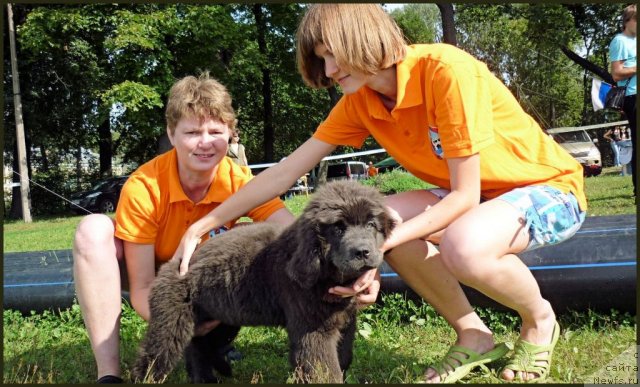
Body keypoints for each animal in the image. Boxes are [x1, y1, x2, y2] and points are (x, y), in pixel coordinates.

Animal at [132, 180, 392, 384]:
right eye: (338, 229)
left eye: (371, 225)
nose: (363, 252)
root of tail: (174, 263)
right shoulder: (313, 329)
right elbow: (325, 370)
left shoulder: (346, 320)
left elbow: (344, 357)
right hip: (171, 325)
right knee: (153, 357)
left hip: (223, 319)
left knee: (200, 346)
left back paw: (211, 376)